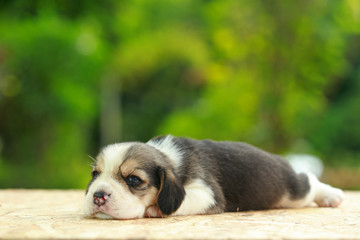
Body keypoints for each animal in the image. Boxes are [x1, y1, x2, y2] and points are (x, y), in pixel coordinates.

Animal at [83, 135, 344, 219]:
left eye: (134, 180)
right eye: (95, 174)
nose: (98, 196)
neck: (170, 158)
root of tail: (282, 159)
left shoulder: (207, 192)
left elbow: (186, 199)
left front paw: (155, 209)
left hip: (293, 191)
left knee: (309, 181)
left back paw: (332, 195)